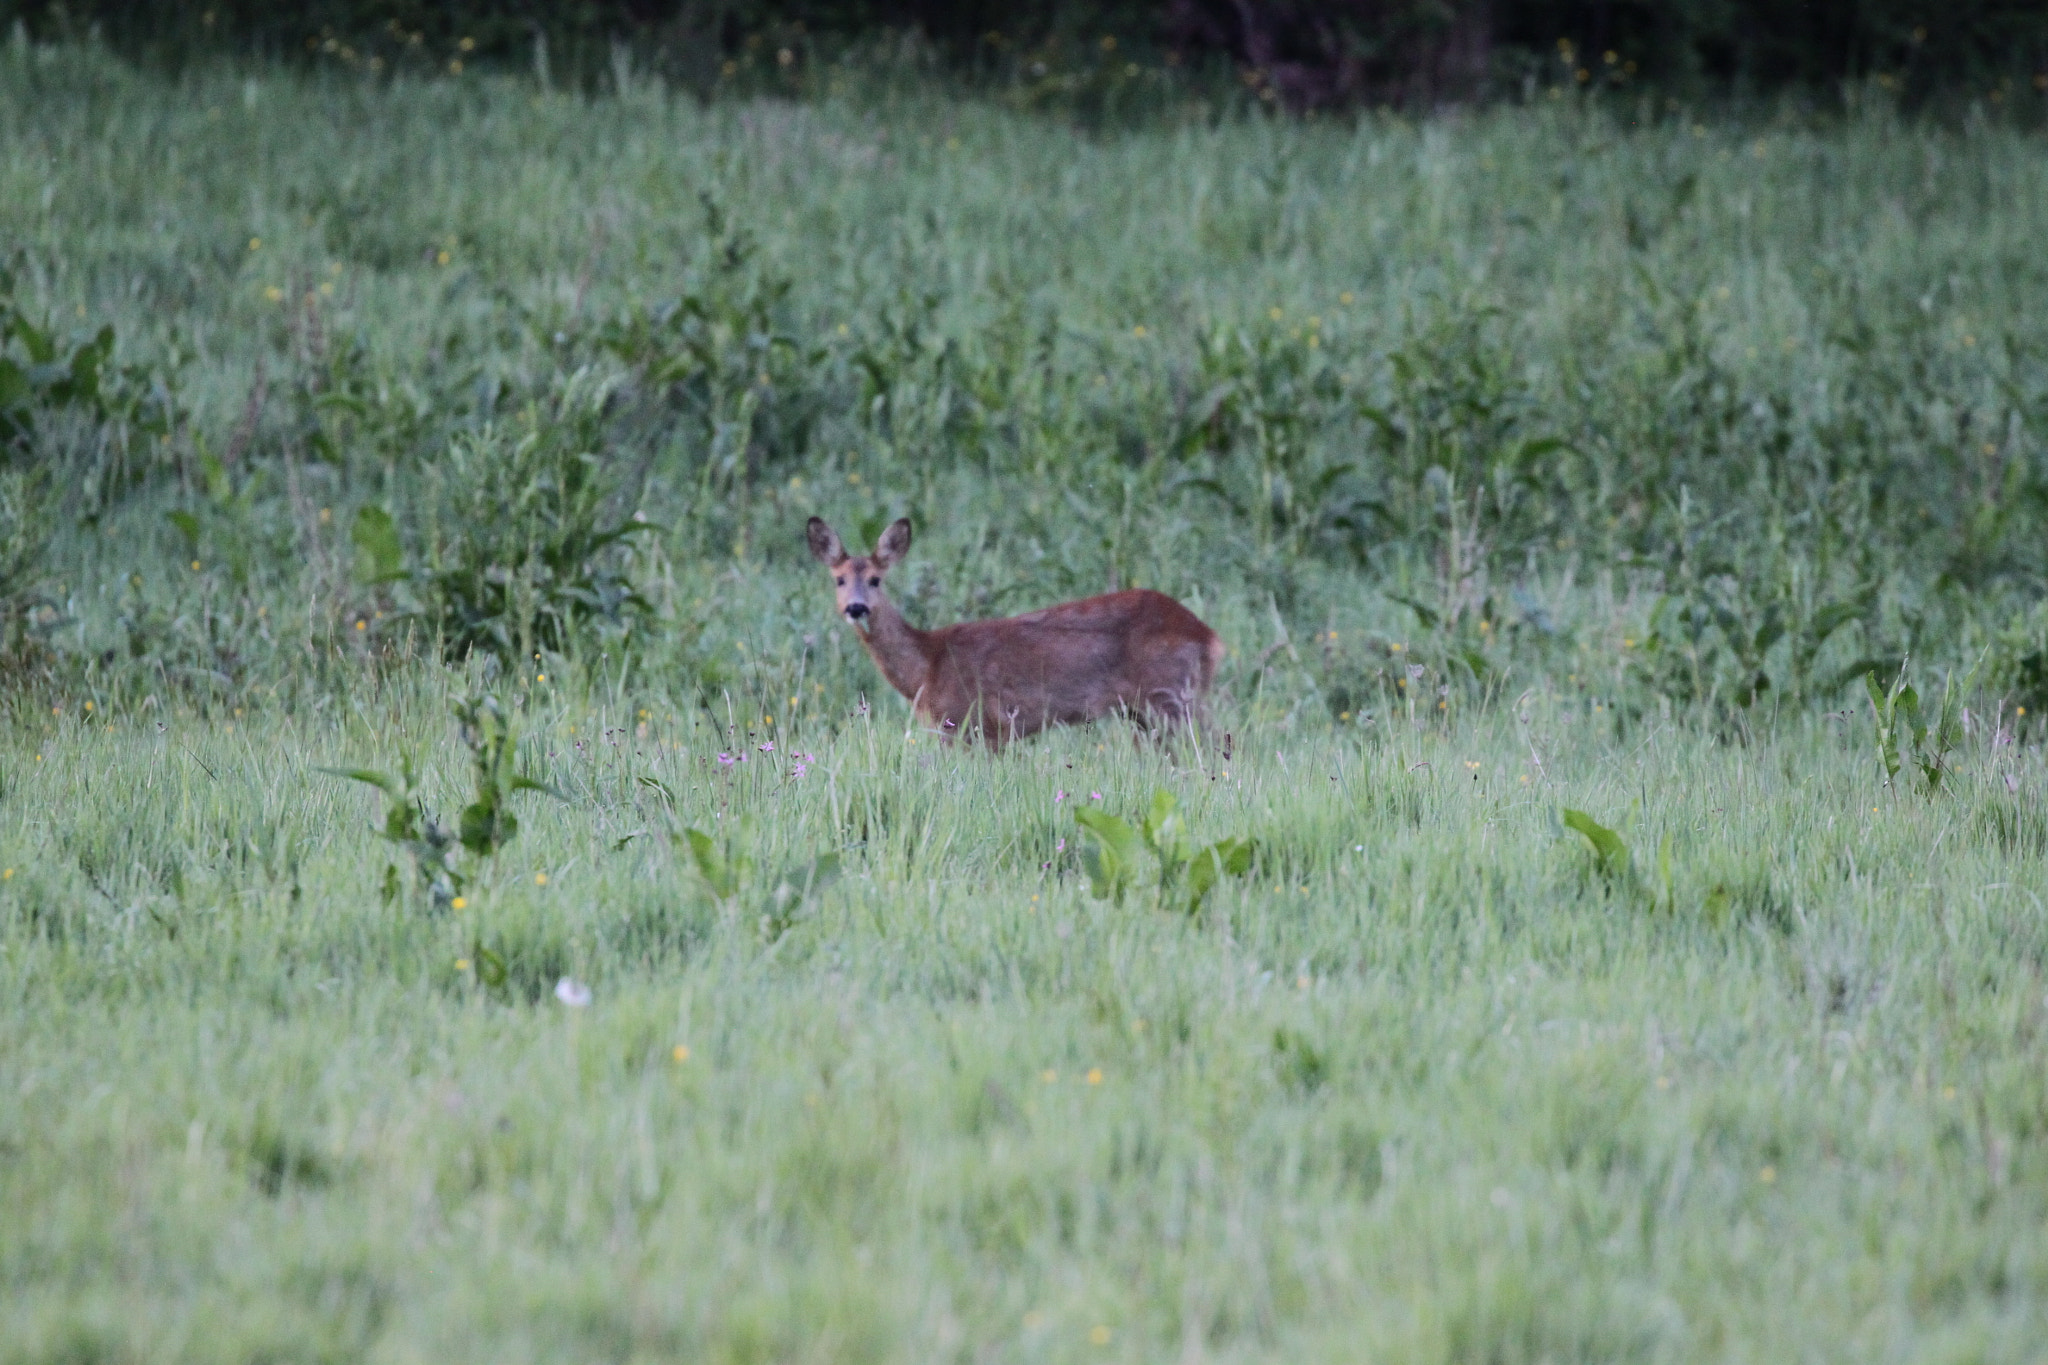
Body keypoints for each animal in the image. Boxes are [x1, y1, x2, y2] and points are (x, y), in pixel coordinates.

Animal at [811, 515, 1228, 749]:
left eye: (876, 580)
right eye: (839, 579)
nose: (856, 608)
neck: (927, 665)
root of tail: (1209, 636)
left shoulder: (977, 724)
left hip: (1172, 694)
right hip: (1147, 711)